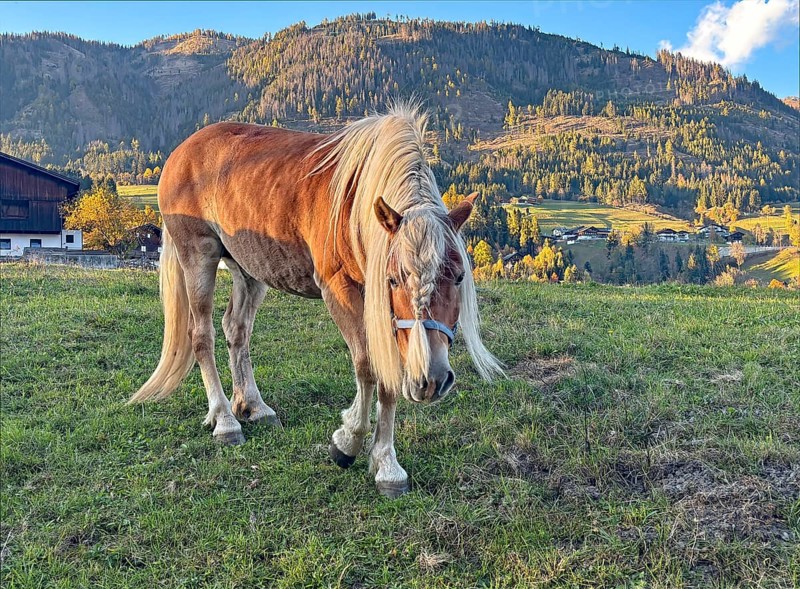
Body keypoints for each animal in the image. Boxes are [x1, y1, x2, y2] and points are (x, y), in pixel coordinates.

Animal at [129, 104, 503, 497]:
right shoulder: (340, 290)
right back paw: (225, 421)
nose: (431, 381)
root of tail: (181, 151)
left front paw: (386, 464)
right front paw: (350, 442)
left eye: (459, 277)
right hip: (198, 258)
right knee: (202, 336)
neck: (356, 206)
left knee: (236, 330)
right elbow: (368, 366)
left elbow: (385, 375)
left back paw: (253, 406)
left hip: (249, 269)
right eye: (393, 279)